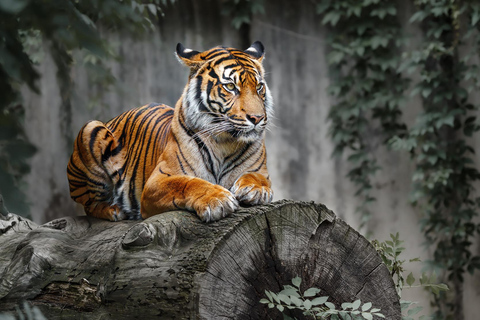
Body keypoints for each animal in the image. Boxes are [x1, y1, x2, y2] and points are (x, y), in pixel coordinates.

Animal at [66, 41, 274, 222]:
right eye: (230, 86)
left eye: (259, 87)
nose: (257, 118)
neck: (225, 142)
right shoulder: (157, 181)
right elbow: (188, 183)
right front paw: (217, 199)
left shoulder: (260, 170)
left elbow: (258, 177)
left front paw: (255, 189)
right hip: (91, 129)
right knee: (89, 205)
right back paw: (113, 210)